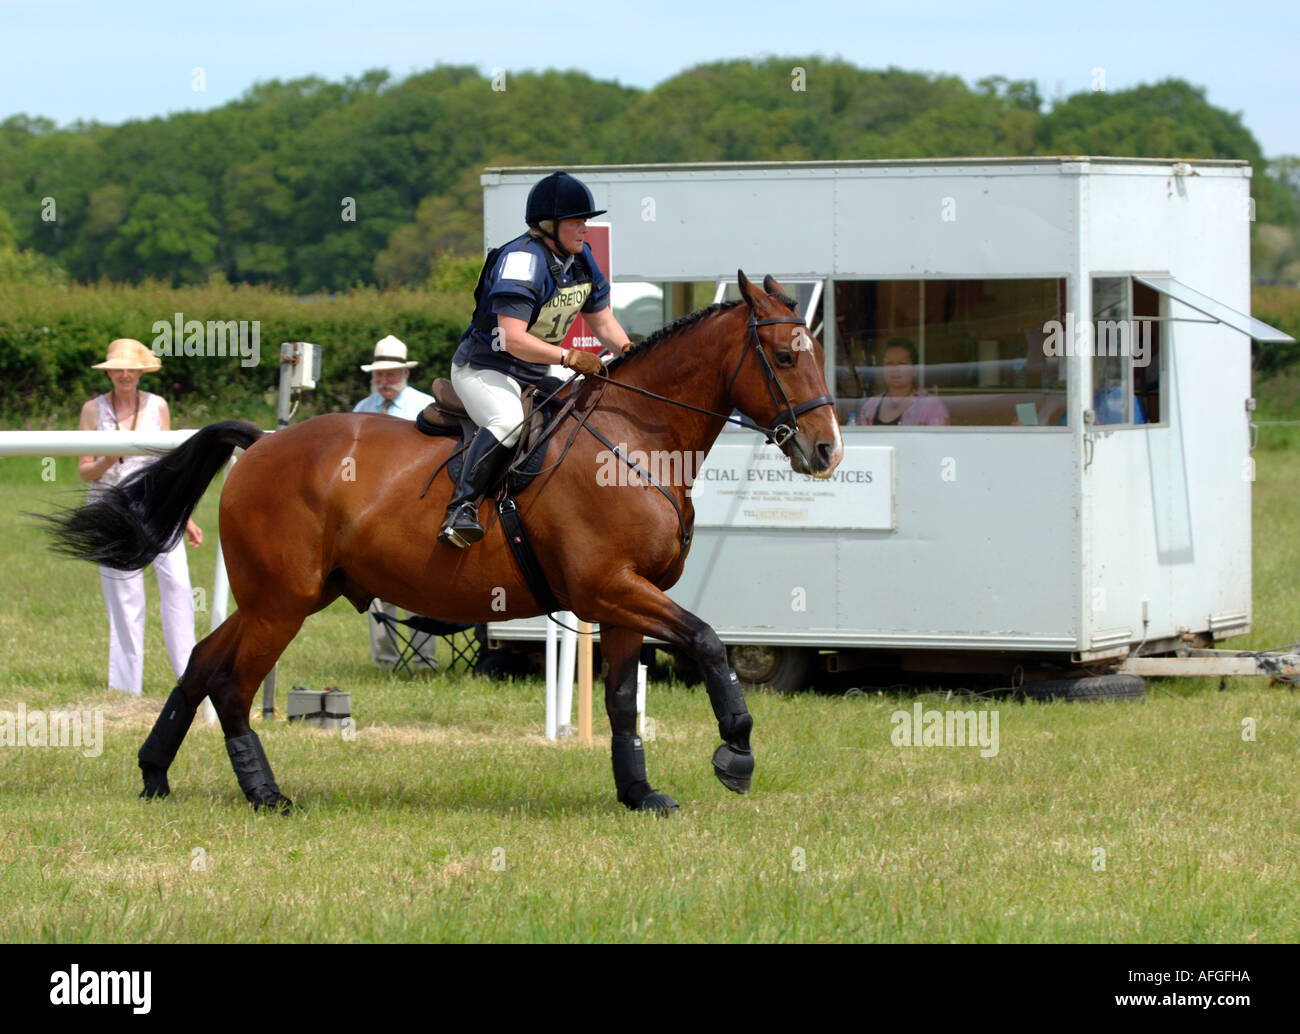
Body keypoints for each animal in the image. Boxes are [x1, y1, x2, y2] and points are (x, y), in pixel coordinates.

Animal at [43, 272, 843, 814]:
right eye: (783, 354)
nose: (826, 450)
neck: (635, 439)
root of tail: (263, 440)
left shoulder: (622, 603)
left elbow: (622, 703)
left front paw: (639, 793)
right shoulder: (611, 587)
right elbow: (708, 640)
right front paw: (736, 751)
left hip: (286, 595)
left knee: (204, 664)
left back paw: (155, 773)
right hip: (283, 604)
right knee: (234, 686)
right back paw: (266, 794)